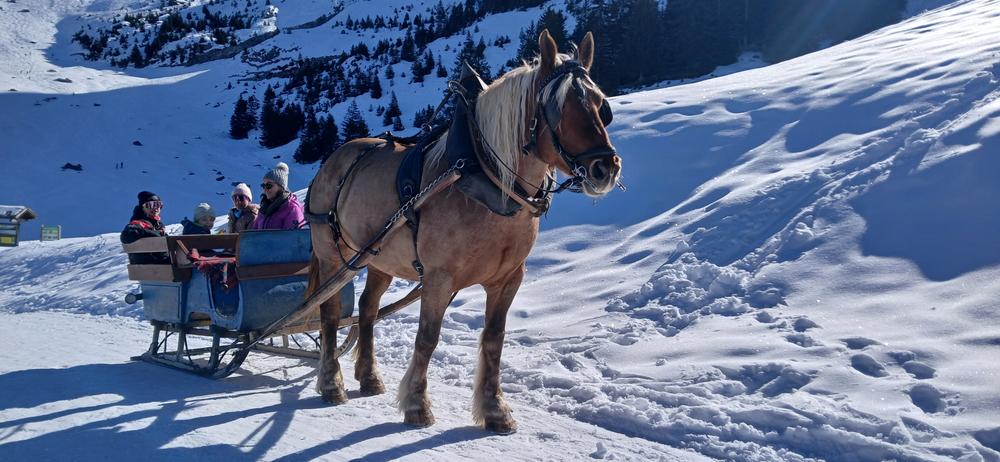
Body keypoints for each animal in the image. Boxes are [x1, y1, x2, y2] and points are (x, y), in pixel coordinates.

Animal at [304, 29, 622, 434]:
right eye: (559, 107)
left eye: (600, 105)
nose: (604, 169)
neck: (484, 178)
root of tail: (333, 159)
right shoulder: (439, 278)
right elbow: (427, 338)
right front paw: (417, 404)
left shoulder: (508, 279)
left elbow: (494, 339)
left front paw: (495, 409)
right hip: (334, 257)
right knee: (329, 313)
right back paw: (332, 382)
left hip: (377, 259)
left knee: (368, 309)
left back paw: (369, 376)